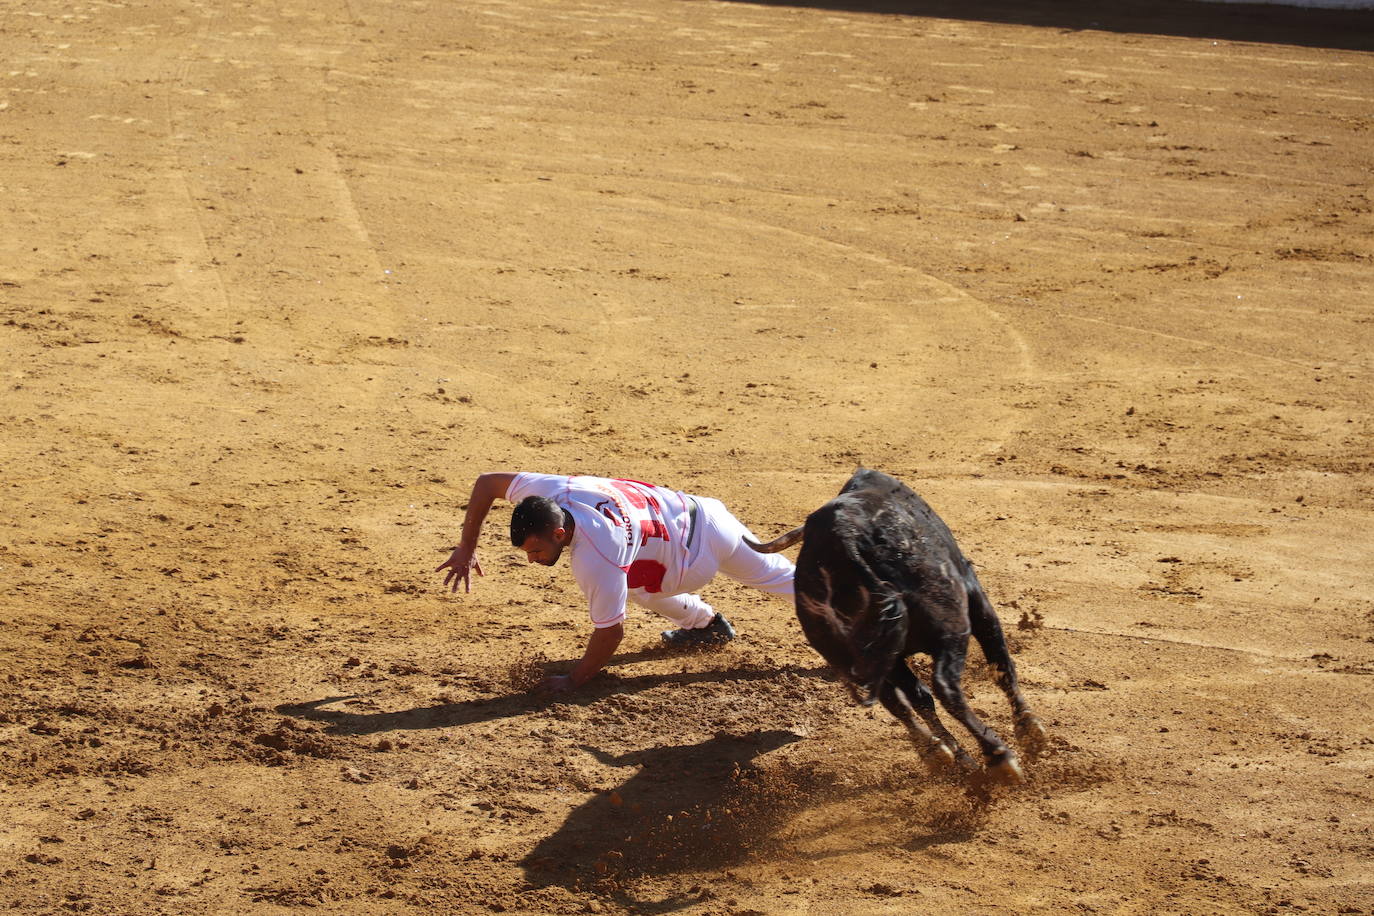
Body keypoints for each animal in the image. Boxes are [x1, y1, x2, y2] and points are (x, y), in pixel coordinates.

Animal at [747, 472, 1044, 780]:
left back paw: (942, 755)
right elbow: (1001, 665)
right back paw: (998, 757)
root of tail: (844, 536)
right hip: (952, 626)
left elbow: (917, 699)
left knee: (901, 701)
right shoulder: (976, 599)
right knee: (946, 686)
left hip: (854, 655)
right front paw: (1030, 732)